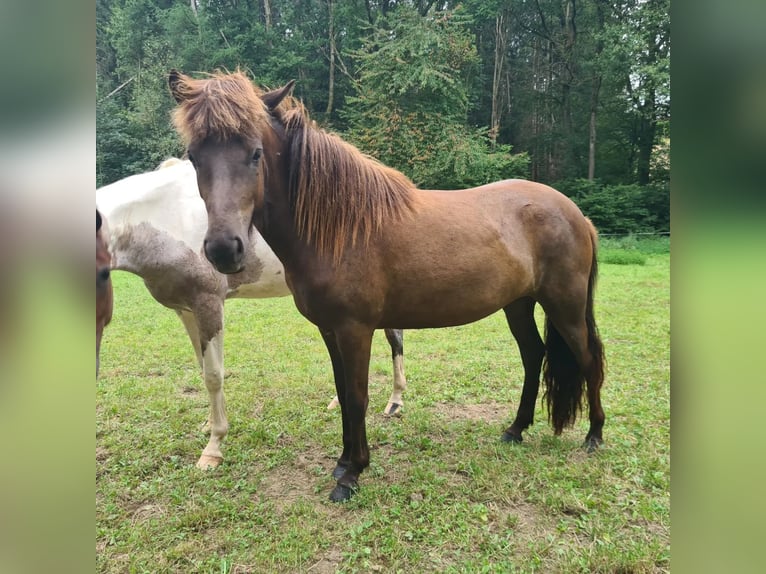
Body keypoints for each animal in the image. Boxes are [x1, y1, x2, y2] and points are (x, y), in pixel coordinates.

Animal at [97, 156, 408, 468]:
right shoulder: (185, 310)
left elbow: (213, 375)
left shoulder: (209, 304)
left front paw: (214, 447)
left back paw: (394, 401)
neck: (168, 218)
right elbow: (203, 368)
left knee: (395, 339)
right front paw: (209, 425)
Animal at [168, 71, 608, 504]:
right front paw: (343, 463)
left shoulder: (355, 329)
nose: (223, 250)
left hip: (565, 306)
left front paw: (352, 475)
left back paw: (594, 436)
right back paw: (516, 429)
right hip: (518, 304)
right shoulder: (329, 330)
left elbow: (357, 396)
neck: (340, 228)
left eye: (256, 153)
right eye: (195, 157)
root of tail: (576, 214)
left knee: (588, 358)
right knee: (534, 356)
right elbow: (343, 392)